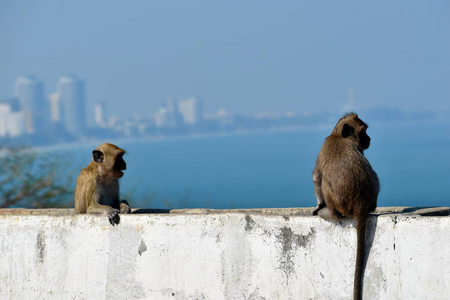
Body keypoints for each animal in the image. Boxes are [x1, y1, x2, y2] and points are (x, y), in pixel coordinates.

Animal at [312, 112, 380, 300]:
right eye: (363, 131)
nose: (369, 138)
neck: (338, 136)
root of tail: (360, 204)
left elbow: (317, 178)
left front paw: (318, 206)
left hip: (339, 204)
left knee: (324, 183)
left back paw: (328, 213)